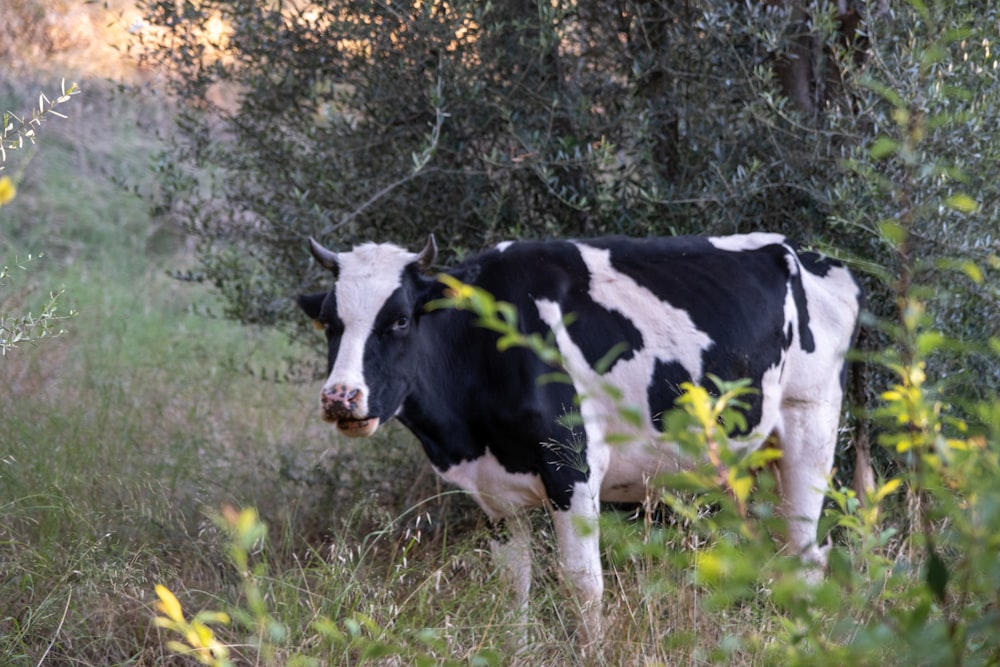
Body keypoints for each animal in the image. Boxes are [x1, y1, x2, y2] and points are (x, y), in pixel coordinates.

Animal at [296, 232, 868, 644]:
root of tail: (809, 255)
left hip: (809, 425)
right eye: (329, 322)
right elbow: (515, 582)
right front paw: (516, 648)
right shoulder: (493, 492)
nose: (340, 396)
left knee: (807, 551)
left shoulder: (572, 468)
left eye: (398, 321)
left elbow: (582, 583)